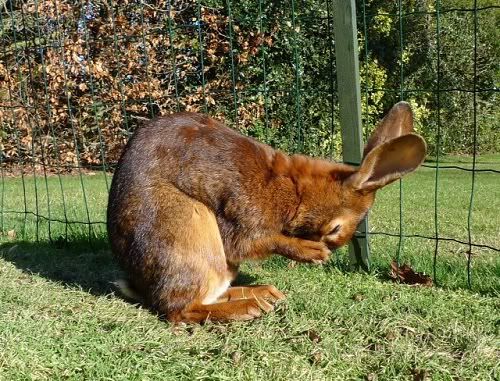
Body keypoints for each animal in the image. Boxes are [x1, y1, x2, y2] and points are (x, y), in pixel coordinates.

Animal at [106, 100, 426, 320]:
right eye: (336, 229)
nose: (326, 251)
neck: (295, 189)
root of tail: (140, 287)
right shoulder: (242, 214)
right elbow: (255, 242)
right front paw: (311, 252)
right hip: (189, 228)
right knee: (183, 310)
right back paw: (250, 307)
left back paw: (262, 293)